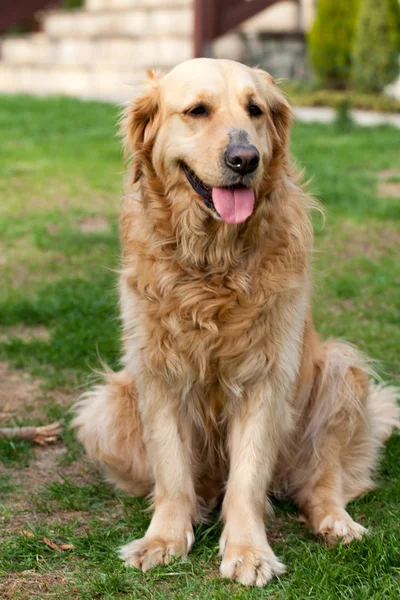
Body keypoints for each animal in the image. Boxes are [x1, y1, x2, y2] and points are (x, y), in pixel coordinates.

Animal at [72, 59, 400, 584]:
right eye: (197, 111)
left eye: (255, 110)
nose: (245, 159)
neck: (212, 266)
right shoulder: (157, 373)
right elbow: (171, 470)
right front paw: (164, 538)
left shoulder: (264, 377)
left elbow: (248, 479)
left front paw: (248, 551)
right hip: (107, 406)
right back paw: (201, 500)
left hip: (341, 371)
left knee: (320, 482)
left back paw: (336, 523)